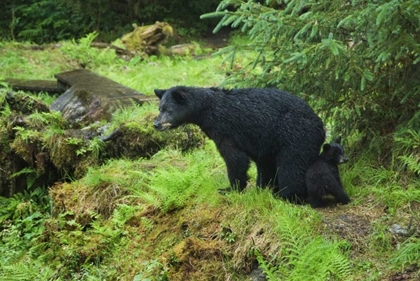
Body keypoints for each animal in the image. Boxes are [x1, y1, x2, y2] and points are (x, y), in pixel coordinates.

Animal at [153, 86, 324, 201]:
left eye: (168, 110)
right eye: (159, 108)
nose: (156, 124)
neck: (207, 111)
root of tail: (320, 126)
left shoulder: (226, 129)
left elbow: (235, 158)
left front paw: (230, 189)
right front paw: (259, 188)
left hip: (295, 136)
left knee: (292, 166)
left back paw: (287, 195)